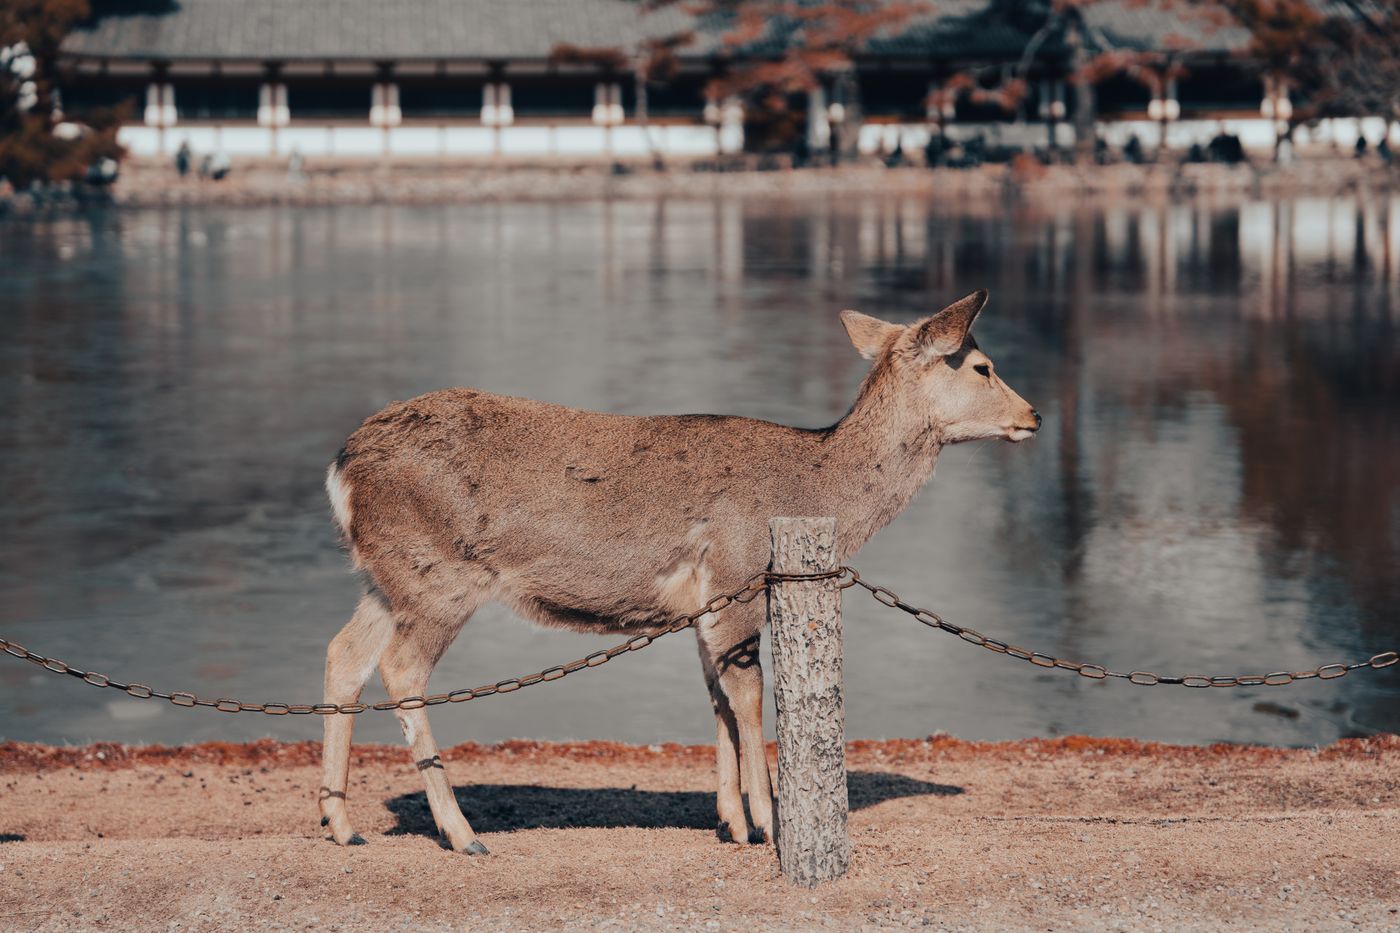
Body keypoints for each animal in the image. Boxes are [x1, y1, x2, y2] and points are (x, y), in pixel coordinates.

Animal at [317, 288, 1039, 855]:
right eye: (982, 365)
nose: (1032, 415)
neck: (816, 487)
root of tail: (341, 467)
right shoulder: (738, 570)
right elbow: (747, 694)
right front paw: (770, 823)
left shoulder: (704, 600)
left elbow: (716, 693)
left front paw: (732, 822)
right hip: (440, 572)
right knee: (401, 669)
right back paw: (461, 832)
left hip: (385, 575)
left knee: (343, 654)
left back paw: (341, 822)